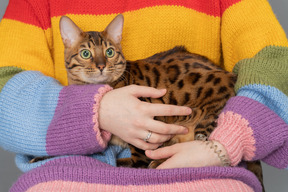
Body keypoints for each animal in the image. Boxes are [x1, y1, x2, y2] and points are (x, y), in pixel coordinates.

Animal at [59, 14, 264, 190]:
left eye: (109, 52)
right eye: (86, 54)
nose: (101, 66)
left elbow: (139, 162)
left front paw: (135, 168)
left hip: (207, 102)